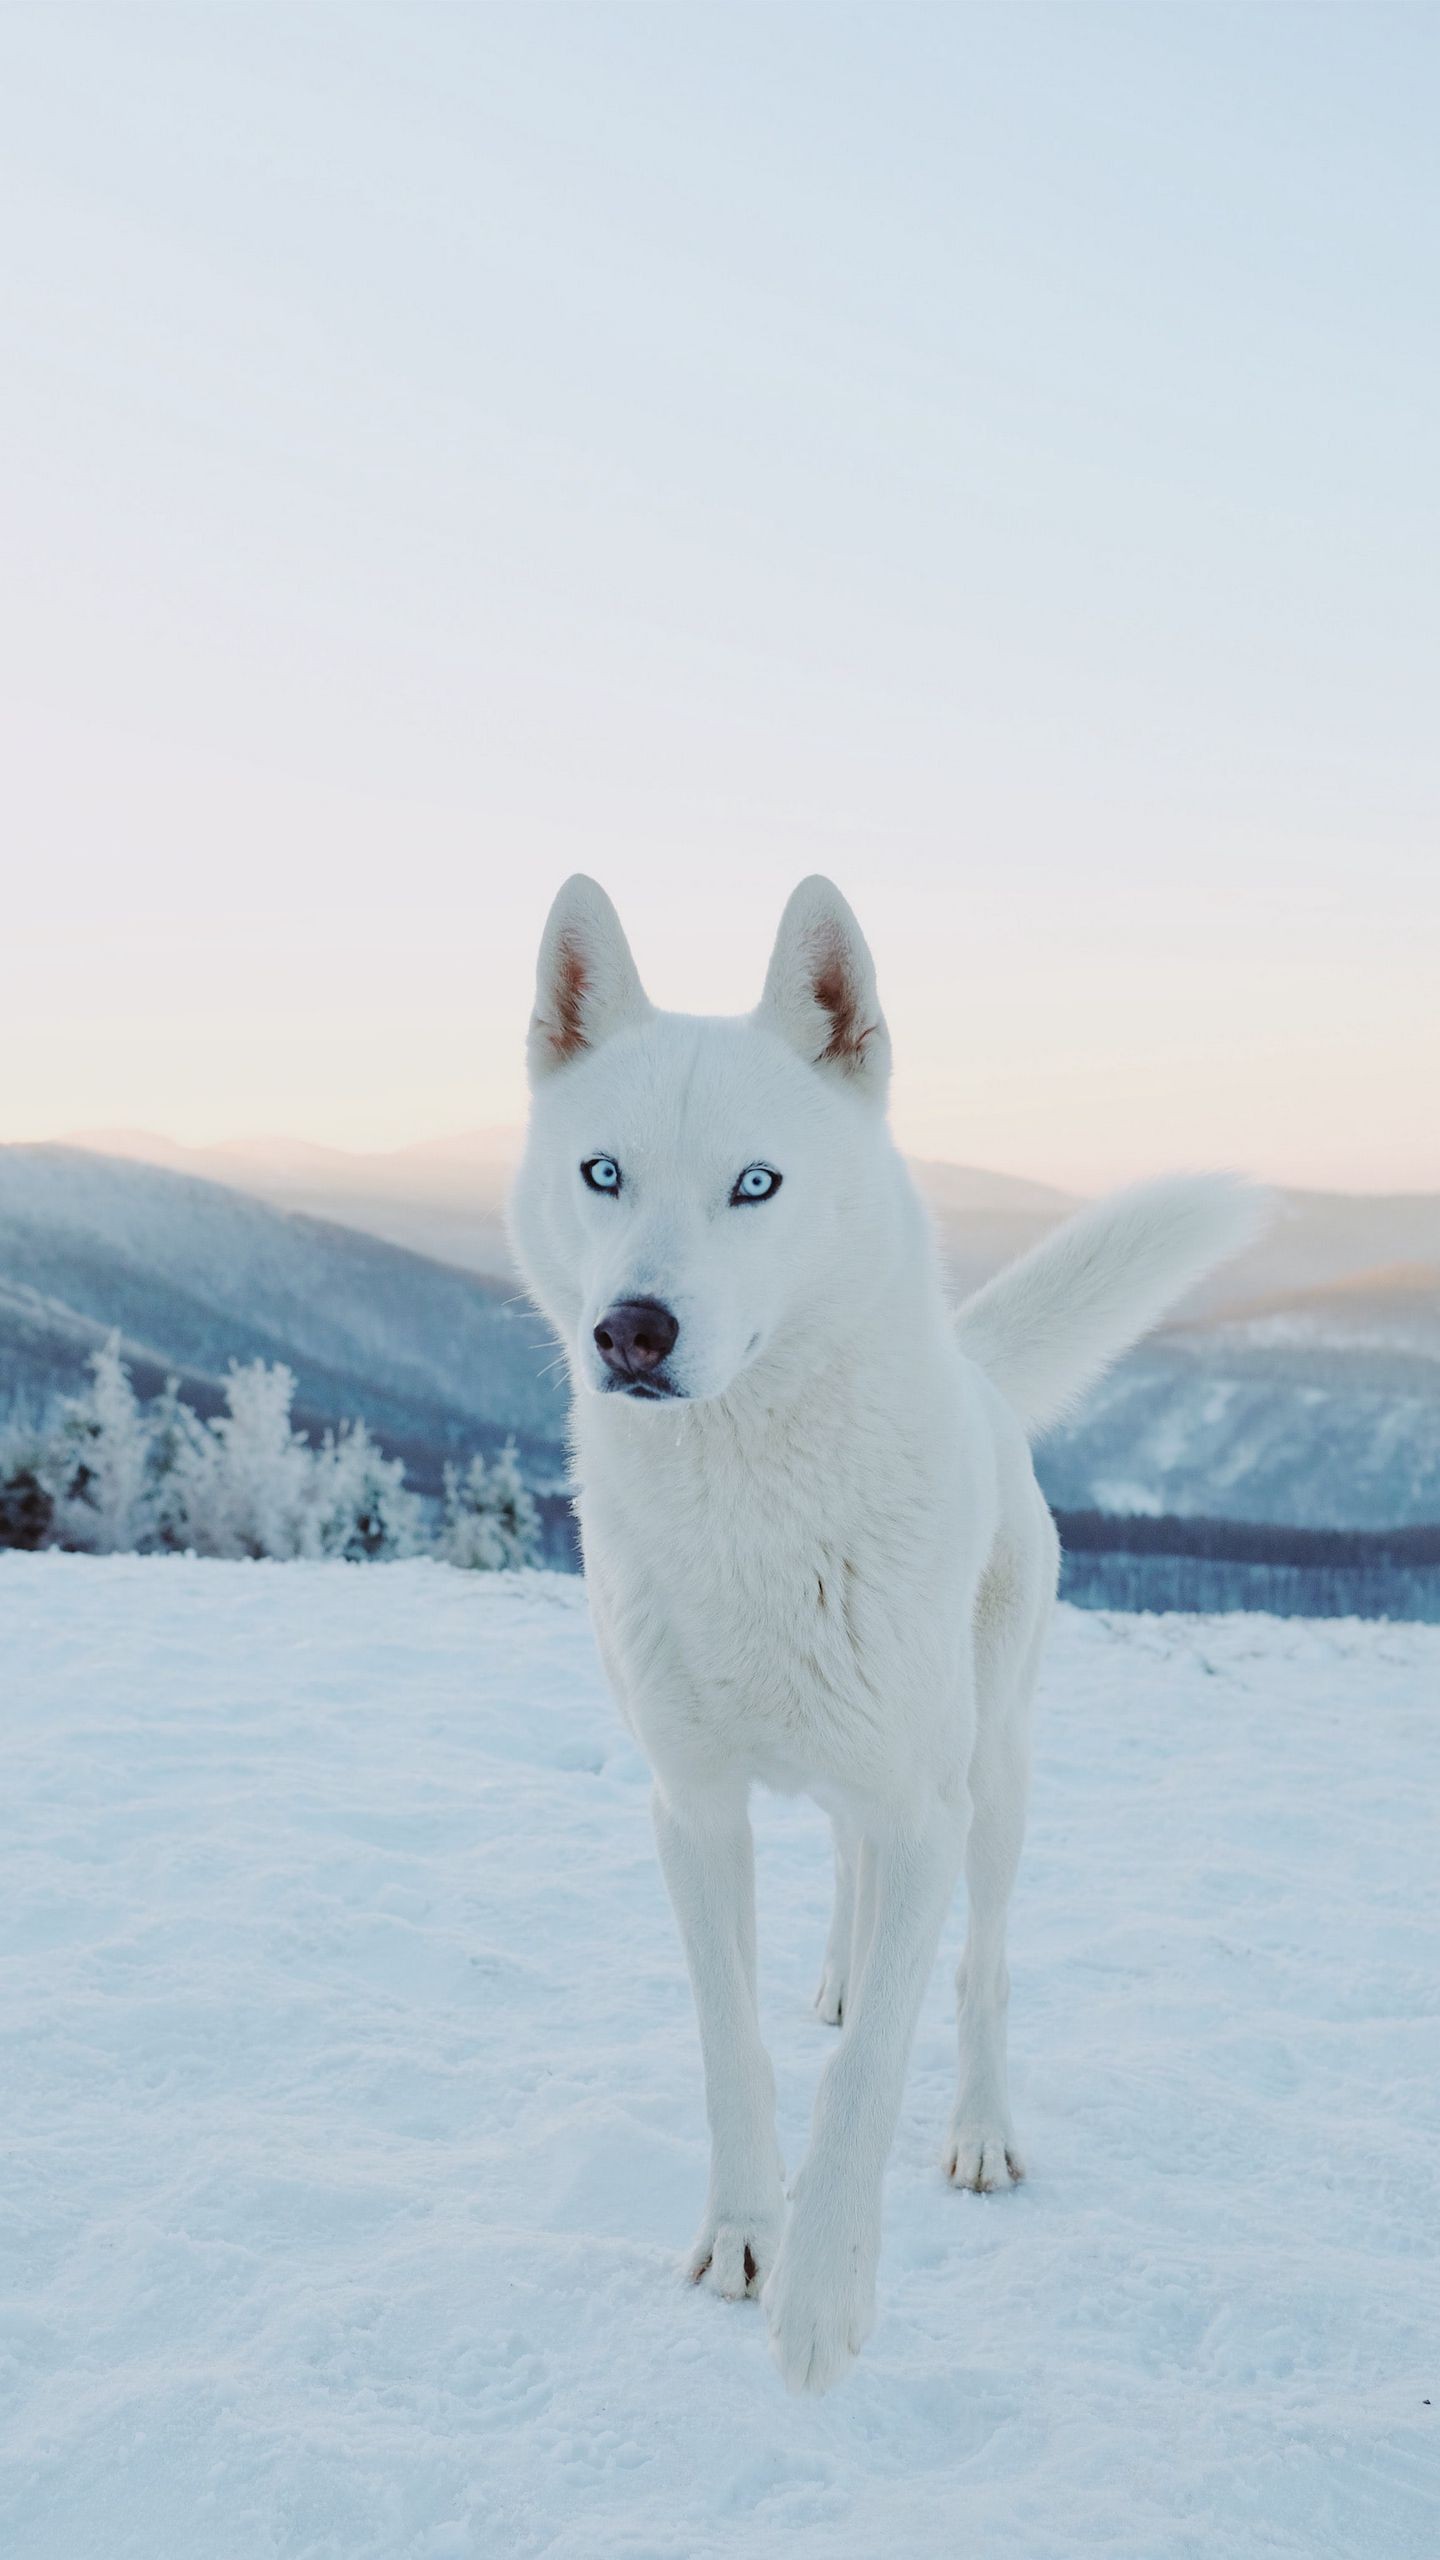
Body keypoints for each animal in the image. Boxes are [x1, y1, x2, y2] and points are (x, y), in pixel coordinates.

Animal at [507, 880, 1255, 2396]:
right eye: (603, 1173)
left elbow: (869, 2080)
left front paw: (819, 2302)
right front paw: (745, 2235)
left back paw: (979, 2131)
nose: (631, 1330)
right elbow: (729, 2040)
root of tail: (981, 1375)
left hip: (995, 1781)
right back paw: (845, 1986)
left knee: (981, 1967)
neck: (748, 1506)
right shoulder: (692, 1808)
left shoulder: (924, 1815)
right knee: (851, 1889)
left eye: (757, 1184)